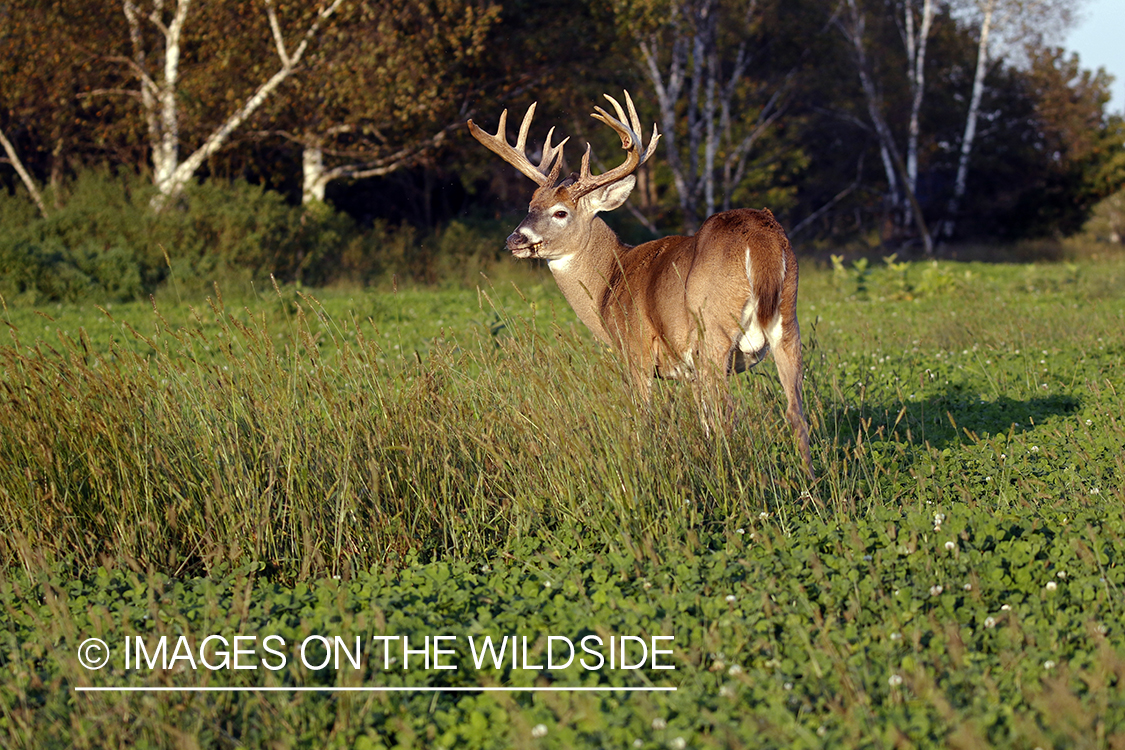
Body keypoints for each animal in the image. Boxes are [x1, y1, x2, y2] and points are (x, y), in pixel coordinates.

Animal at [470, 91, 814, 479]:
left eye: (560, 212)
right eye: (530, 205)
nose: (515, 239)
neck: (610, 280)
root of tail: (760, 237)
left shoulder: (636, 349)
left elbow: (644, 419)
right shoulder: (689, 371)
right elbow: (703, 423)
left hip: (713, 329)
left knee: (729, 412)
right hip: (787, 322)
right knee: (795, 412)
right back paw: (809, 483)